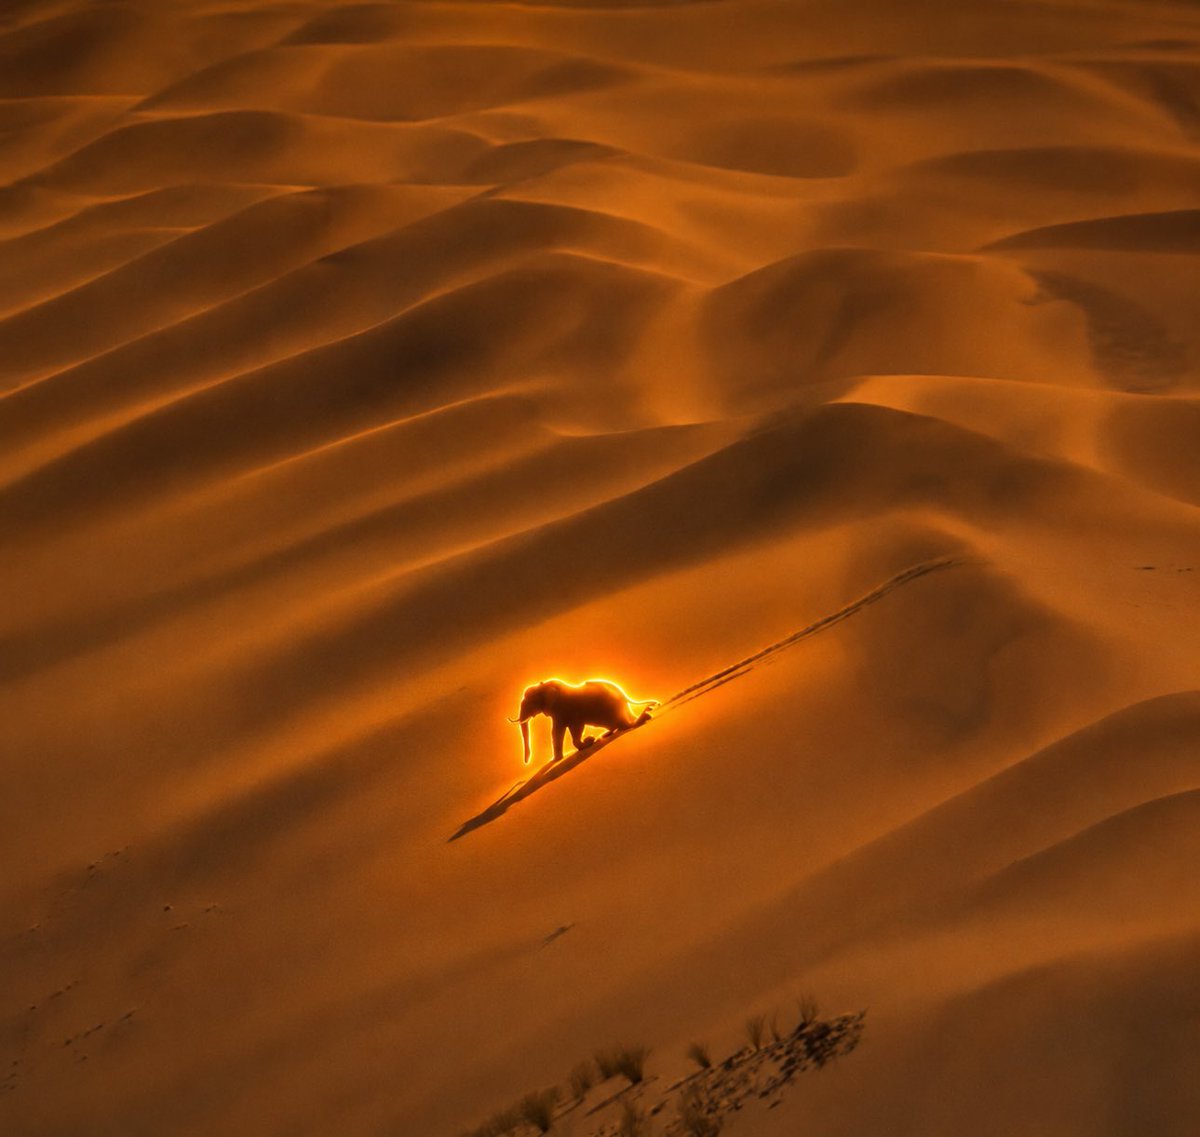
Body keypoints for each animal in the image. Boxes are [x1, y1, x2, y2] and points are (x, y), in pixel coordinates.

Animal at [509, 678, 658, 765]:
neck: (546, 686)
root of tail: (625, 696)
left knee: (625, 725)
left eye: (531, 702)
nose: (526, 762)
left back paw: (645, 715)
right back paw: (605, 735)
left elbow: (567, 729)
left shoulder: (566, 710)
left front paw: (588, 742)